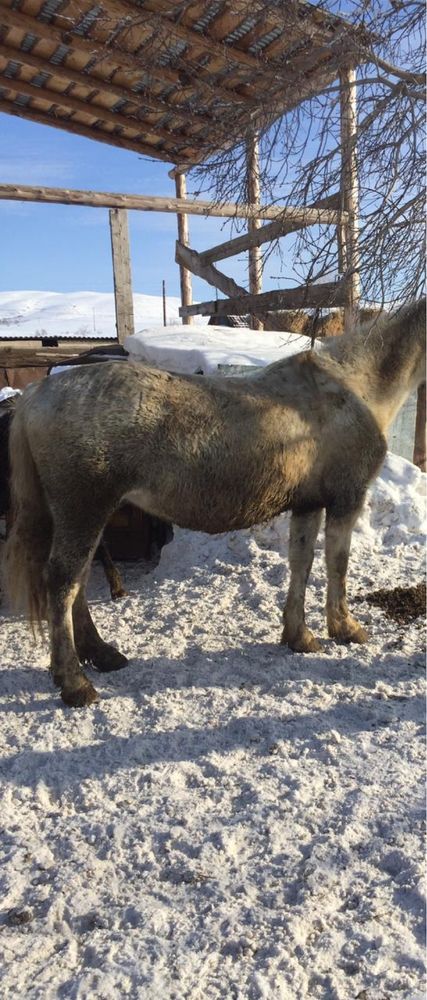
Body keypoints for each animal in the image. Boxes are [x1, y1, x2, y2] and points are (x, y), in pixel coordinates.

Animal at [5, 300, 426, 708]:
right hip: (84, 511)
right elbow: (337, 564)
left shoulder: (308, 504)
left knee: (77, 583)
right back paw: (75, 683)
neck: (354, 384)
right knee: (63, 582)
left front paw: (299, 636)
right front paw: (346, 628)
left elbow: (301, 564)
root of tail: (37, 395)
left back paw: (102, 654)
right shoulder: (346, 499)